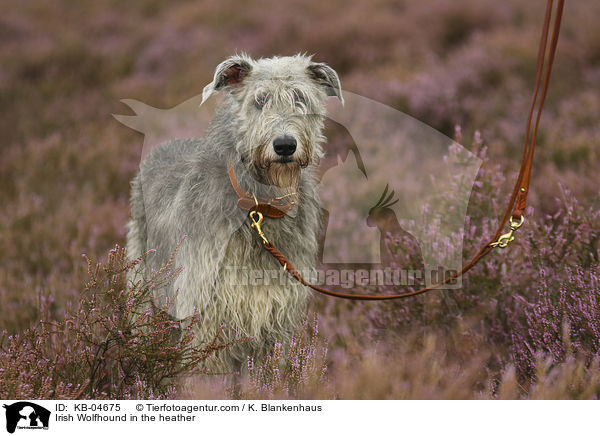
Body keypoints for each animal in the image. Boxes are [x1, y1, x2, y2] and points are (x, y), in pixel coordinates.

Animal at [126, 52, 342, 372]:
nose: (285, 145)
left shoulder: (276, 318)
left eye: (300, 98)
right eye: (259, 100)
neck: (258, 205)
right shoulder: (205, 313)